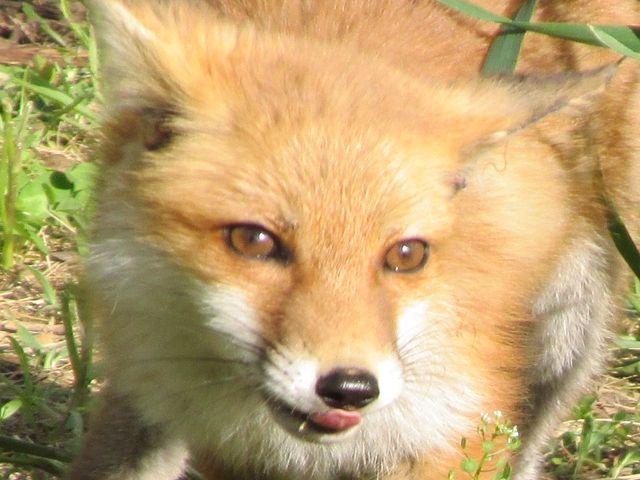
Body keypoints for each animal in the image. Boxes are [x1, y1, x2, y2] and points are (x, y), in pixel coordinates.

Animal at [67, 0, 640, 479]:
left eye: (406, 255)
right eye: (254, 241)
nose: (351, 389)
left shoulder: (452, 421)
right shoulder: (146, 393)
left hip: (571, 328)